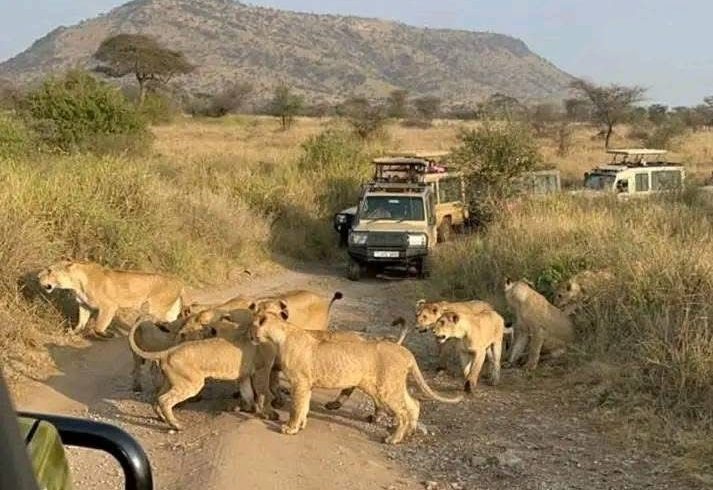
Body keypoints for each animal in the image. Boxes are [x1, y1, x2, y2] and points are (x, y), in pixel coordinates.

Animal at [37, 260, 184, 337]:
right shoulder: (84, 305)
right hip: (168, 310)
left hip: (157, 308)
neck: (76, 284)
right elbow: (81, 322)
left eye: (49, 270)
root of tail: (178, 282)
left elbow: (99, 325)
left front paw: (106, 334)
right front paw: (73, 332)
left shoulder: (109, 306)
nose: (38, 276)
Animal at [128, 316, 276, 430]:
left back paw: (162, 418)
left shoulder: (244, 376)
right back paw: (176, 425)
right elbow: (263, 393)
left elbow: (248, 394)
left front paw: (251, 410)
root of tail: (167, 352)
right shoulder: (261, 370)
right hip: (191, 384)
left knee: (158, 398)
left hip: (172, 382)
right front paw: (266, 414)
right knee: (165, 400)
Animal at [250, 310, 462, 445]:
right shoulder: (306, 384)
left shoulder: (299, 382)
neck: (281, 334)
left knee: (402, 412)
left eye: (252, 326)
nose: (249, 335)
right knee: (414, 403)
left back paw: (393, 439)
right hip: (393, 384)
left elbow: (296, 407)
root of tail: (404, 351)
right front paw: (300, 426)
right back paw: (409, 432)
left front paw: (290, 428)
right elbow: (304, 407)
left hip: (385, 388)